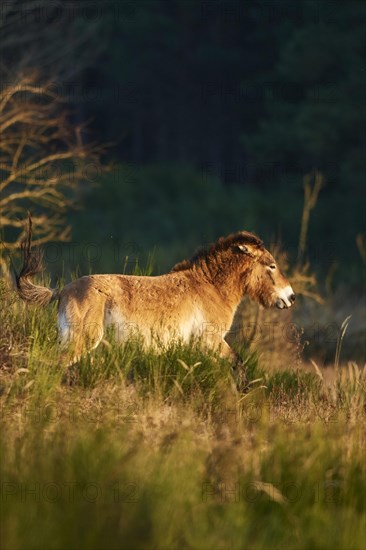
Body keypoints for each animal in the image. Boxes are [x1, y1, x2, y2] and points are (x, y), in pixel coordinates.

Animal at [15, 218, 294, 364]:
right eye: (272, 265)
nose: (290, 296)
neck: (211, 288)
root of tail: (63, 290)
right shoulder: (211, 340)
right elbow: (238, 363)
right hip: (81, 340)